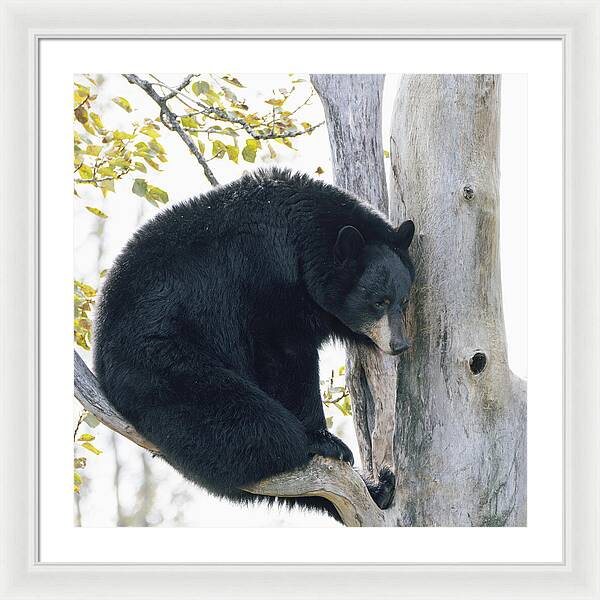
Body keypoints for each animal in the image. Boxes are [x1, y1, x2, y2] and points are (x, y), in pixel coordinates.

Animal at [95, 169, 412, 520]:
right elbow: (284, 355)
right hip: (162, 362)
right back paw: (309, 445)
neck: (302, 242)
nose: (399, 345)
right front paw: (322, 436)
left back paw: (379, 488)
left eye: (403, 300)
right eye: (379, 302)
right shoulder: (265, 278)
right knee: (253, 424)